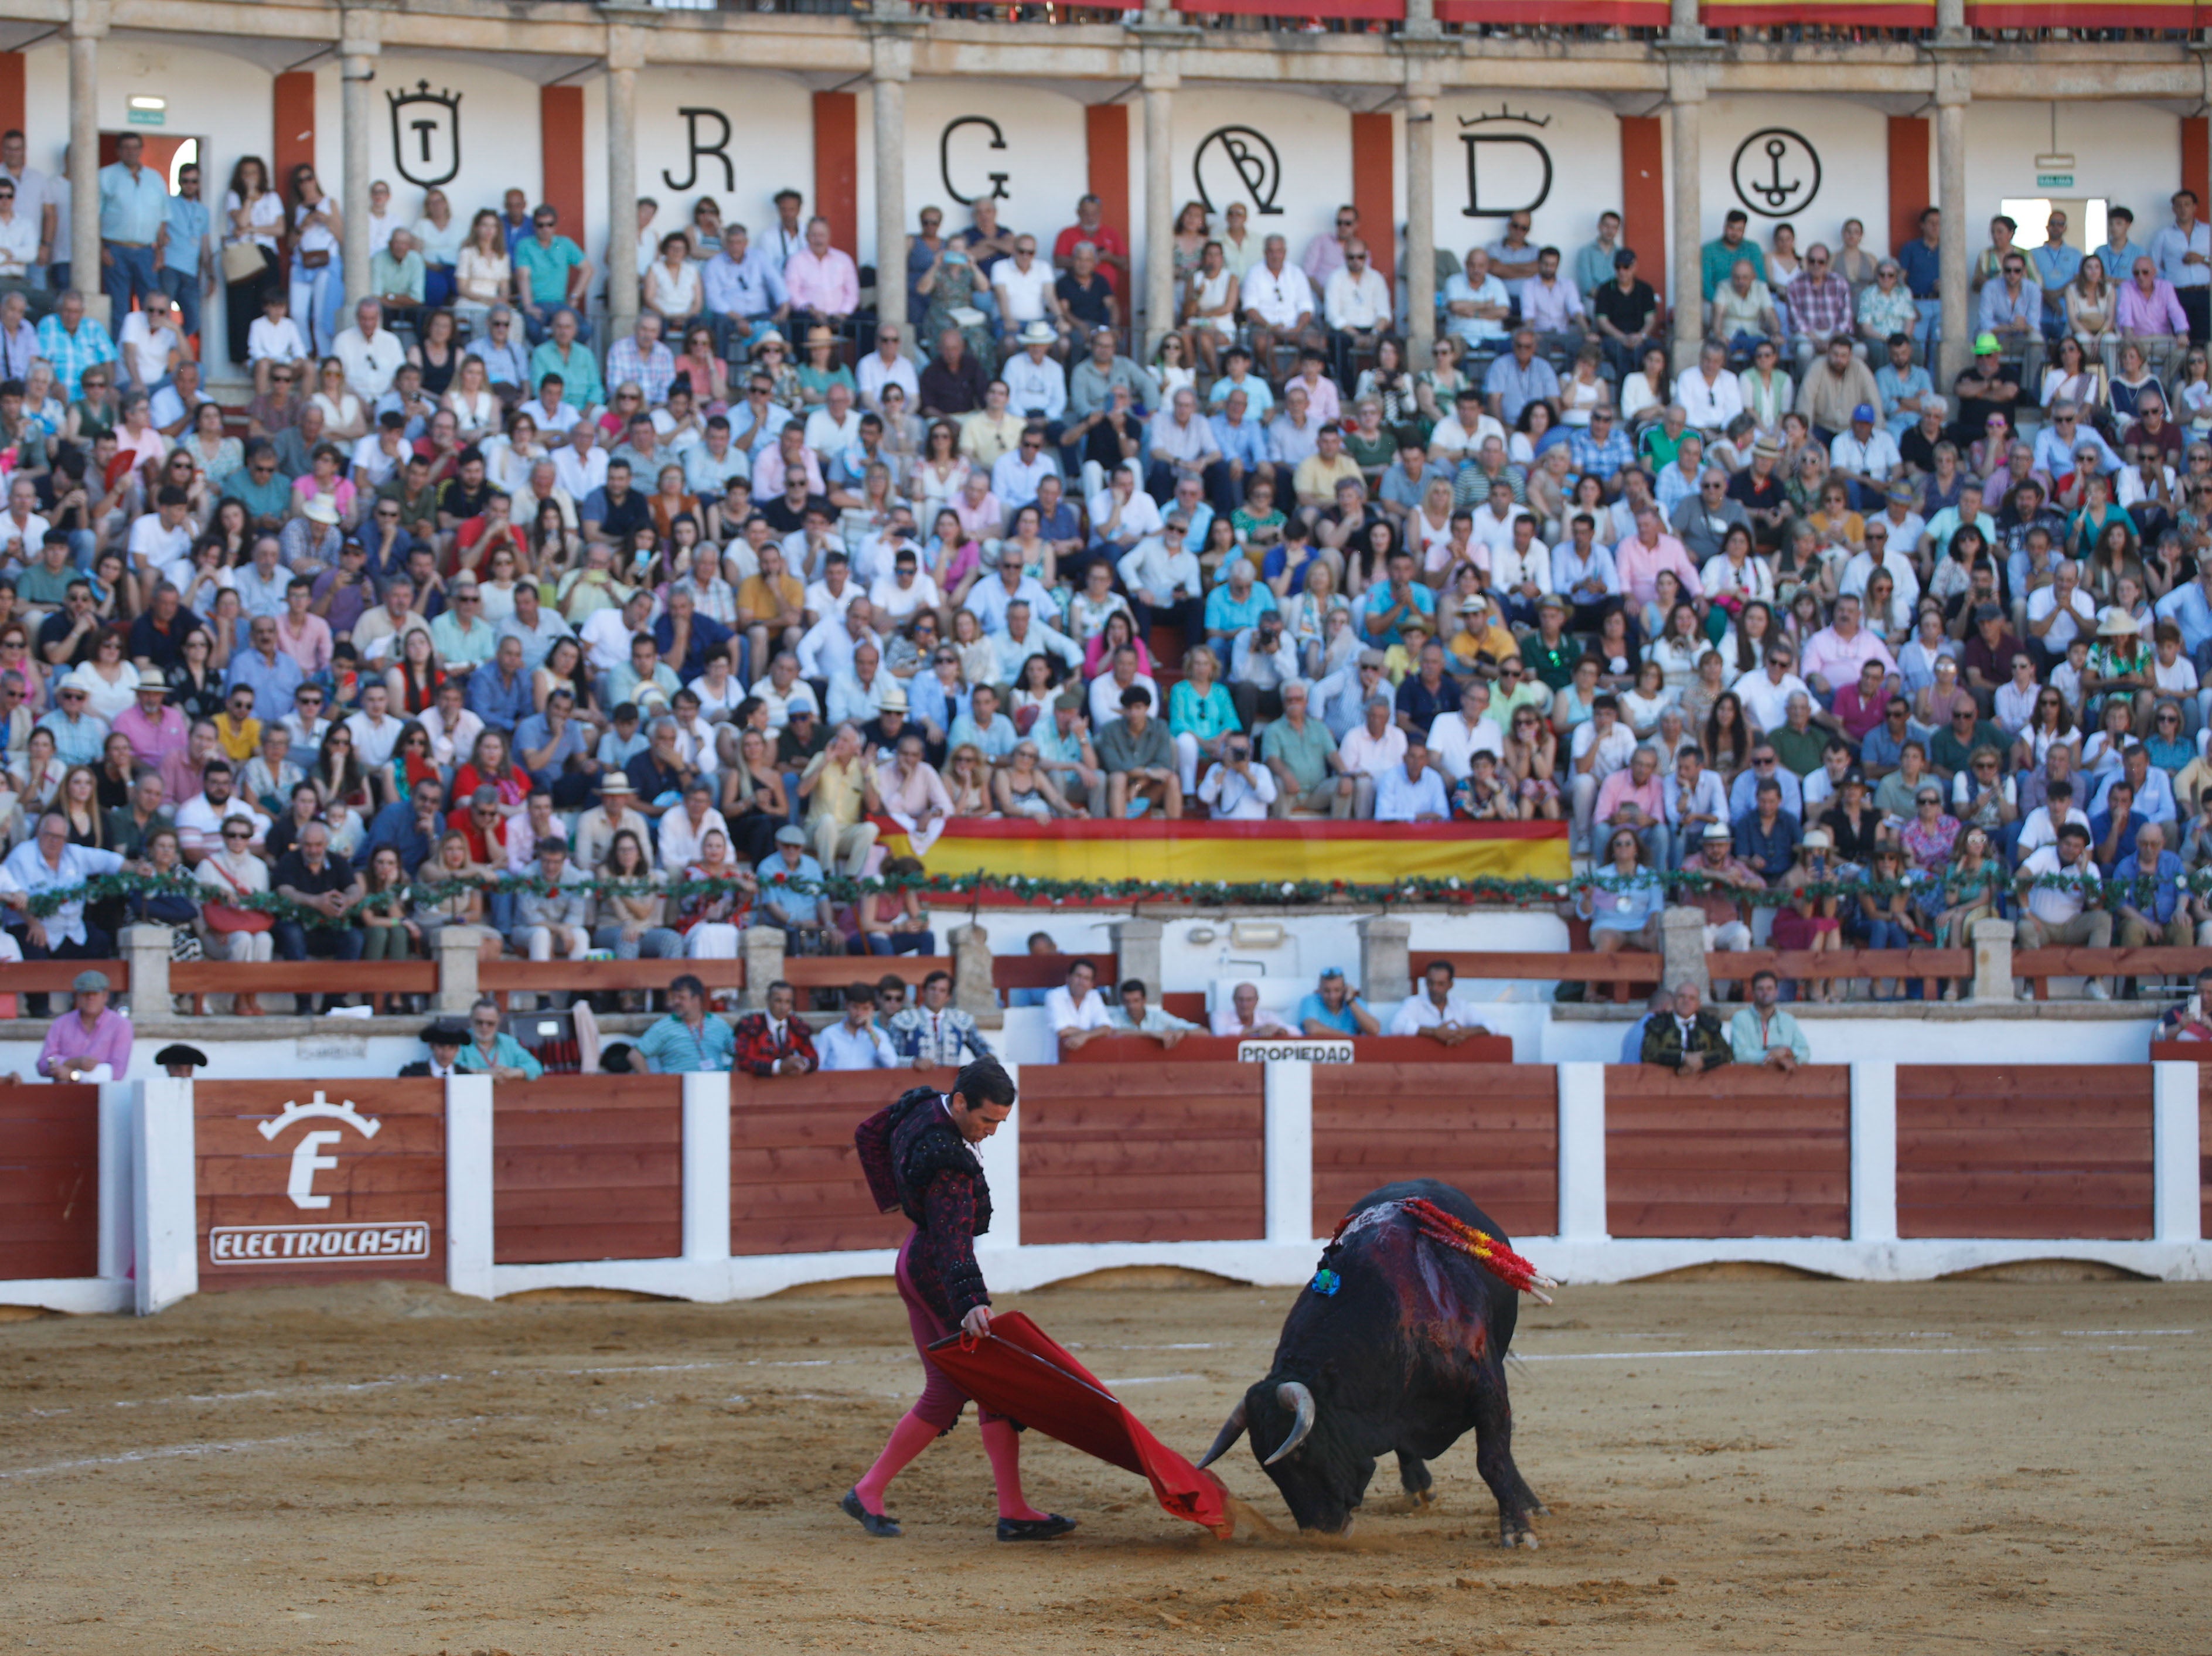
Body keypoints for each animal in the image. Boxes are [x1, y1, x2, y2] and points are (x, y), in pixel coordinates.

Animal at [1203, 1176, 1548, 1539]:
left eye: (1301, 1451)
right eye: (1266, 1464)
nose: (1320, 1530)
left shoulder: (1487, 1387)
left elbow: (1493, 1459)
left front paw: (1517, 1529)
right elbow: (1410, 1444)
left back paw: (1530, 1503)